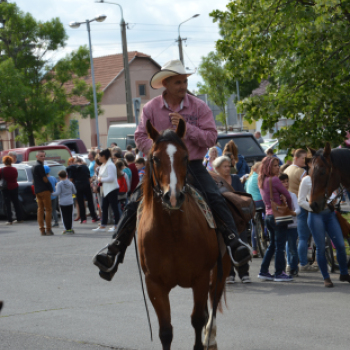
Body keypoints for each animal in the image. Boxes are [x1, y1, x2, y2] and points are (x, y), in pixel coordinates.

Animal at [137, 119, 232, 350]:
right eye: (155, 158)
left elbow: (197, 319)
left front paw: (202, 340)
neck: (173, 233)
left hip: (221, 268)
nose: (173, 197)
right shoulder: (154, 284)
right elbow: (165, 331)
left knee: (213, 299)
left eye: (185, 157)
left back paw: (210, 337)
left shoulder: (200, 278)